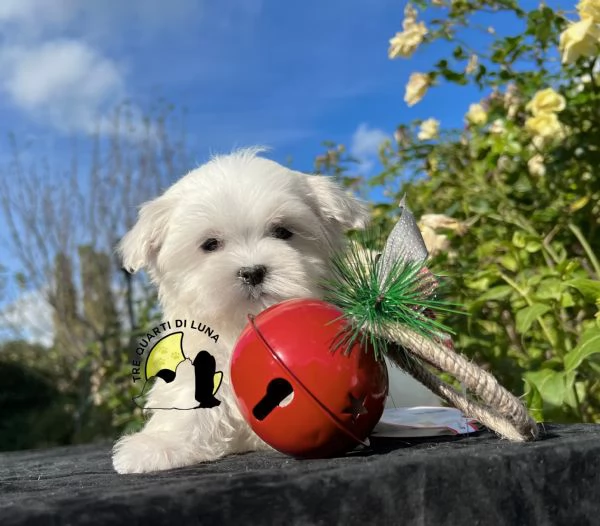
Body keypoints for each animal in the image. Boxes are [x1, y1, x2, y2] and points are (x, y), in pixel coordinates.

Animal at [110, 146, 434, 476]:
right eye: (210, 244)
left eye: (282, 231)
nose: (252, 272)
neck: (241, 326)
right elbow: (188, 394)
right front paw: (161, 445)